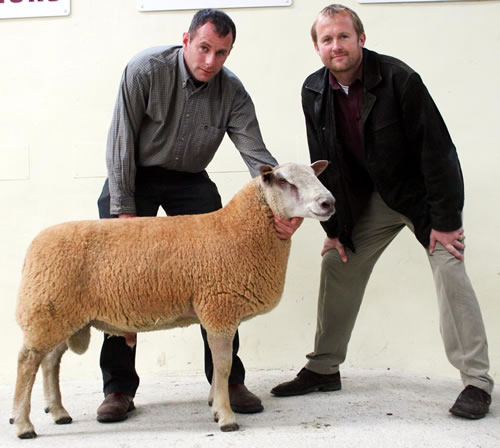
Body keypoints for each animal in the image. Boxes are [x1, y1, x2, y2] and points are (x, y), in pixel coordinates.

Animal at [9, 160, 334, 438]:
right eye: (284, 180)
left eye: (314, 175)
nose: (328, 202)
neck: (239, 230)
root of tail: (33, 247)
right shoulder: (219, 309)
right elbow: (224, 365)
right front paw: (226, 417)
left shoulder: (214, 312)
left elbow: (217, 363)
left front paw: (215, 405)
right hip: (46, 309)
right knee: (27, 362)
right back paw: (23, 424)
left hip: (62, 314)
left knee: (50, 361)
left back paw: (59, 412)